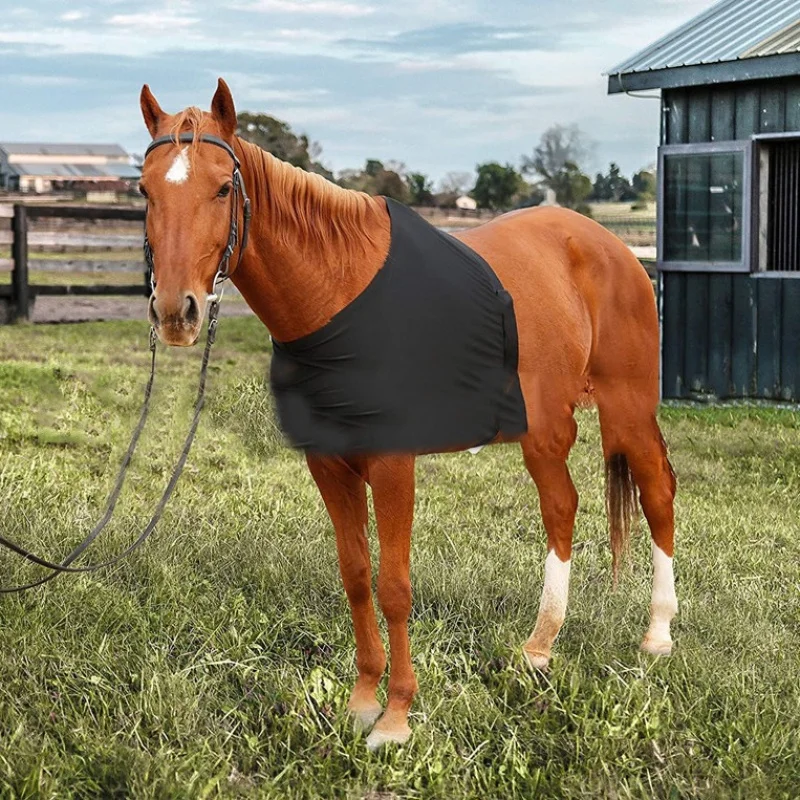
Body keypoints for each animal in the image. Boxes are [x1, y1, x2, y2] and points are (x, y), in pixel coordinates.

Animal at [138, 79, 677, 750]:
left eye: (221, 187)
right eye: (145, 190)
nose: (175, 312)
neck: (339, 295)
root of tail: (612, 248)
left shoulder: (394, 465)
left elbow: (394, 587)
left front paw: (395, 718)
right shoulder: (329, 465)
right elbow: (356, 576)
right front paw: (362, 701)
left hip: (627, 408)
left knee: (656, 492)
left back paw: (657, 635)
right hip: (544, 428)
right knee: (562, 505)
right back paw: (539, 647)